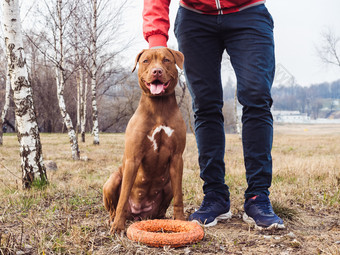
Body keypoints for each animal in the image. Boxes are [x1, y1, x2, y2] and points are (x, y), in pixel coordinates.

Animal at [103, 47, 186, 233]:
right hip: (112, 180)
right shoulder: (133, 159)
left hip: (168, 184)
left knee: (164, 204)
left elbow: (179, 197)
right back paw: (113, 220)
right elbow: (123, 196)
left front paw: (181, 221)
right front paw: (118, 227)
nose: (157, 71)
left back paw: (162, 219)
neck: (159, 106)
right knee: (114, 207)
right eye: (146, 61)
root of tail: (138, 215)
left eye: (166, 60)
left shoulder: (177, 158)